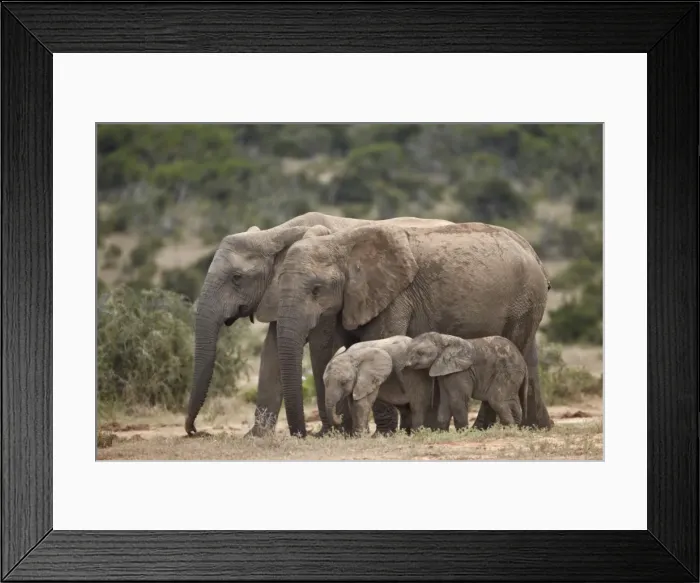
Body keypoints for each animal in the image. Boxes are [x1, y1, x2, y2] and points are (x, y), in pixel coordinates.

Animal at [184, 211, 452, 437]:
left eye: (237, 278)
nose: (197, 431)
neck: (275, 234)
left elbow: (320, 349)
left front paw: (332, 433)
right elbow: (273, 351)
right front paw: (255, 437)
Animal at [275, 221, 553, 438]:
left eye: (316, 290)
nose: (306, 434)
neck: (342, 242)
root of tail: (533, 253)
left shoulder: (395, 297)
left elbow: (381, 340)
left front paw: (383, 435)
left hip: (525, 300)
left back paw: (483, 428)